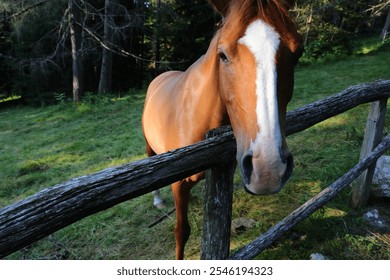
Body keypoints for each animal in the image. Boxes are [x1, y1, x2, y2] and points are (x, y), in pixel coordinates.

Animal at [142, 0, 304, 260]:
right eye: (223, 55)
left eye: (298, 53)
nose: (268, 169)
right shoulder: (178, 183)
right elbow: (181, 231)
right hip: (149, 145)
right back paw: (157, 200)